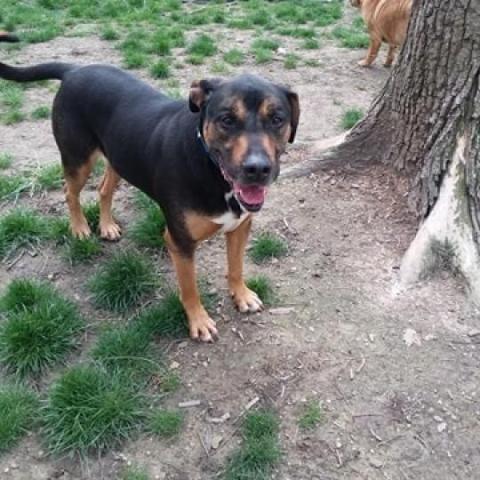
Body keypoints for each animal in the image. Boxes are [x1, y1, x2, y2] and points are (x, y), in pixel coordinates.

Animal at [0, 57, 300, 342]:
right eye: (227, 120)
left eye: (277, 119)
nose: (257, 169)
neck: (211, 167)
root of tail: (74, 70)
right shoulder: (180, 242)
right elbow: (189, 288)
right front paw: (199, 322)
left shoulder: (240, 227)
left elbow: (236, 266)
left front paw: (242, 295)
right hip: (78, 158)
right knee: (70, 192)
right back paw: (80, 228)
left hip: (119, 156)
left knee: (104, 189)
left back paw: (106, 226)